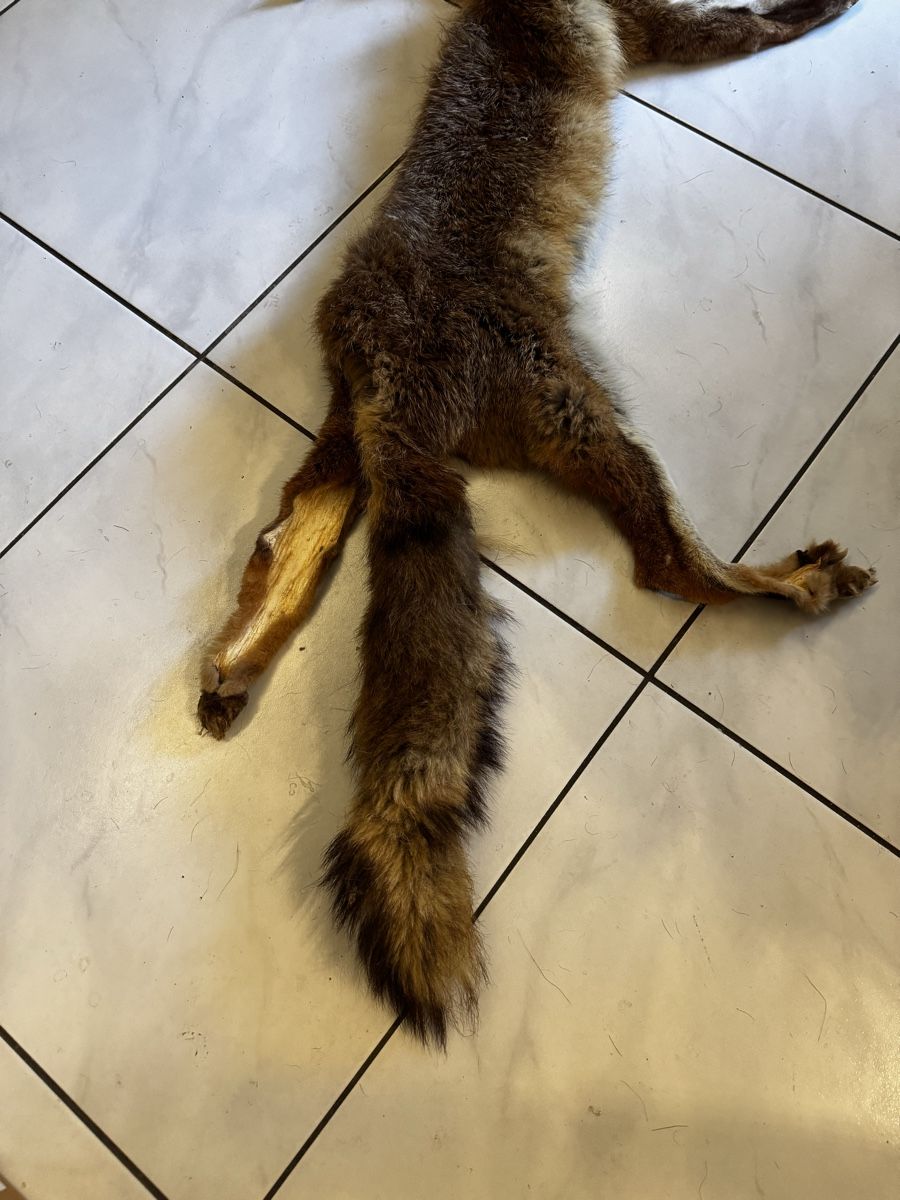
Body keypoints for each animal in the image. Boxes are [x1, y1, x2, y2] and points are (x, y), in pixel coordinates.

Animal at [197, 0, 871, 1046]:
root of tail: (390, 375)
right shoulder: (649, 29)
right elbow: (746, 30)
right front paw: (813, 15)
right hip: (579, 409)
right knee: (670, 562)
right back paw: (793, 580)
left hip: (344, 455)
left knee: (287, 552)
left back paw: (231, 668)